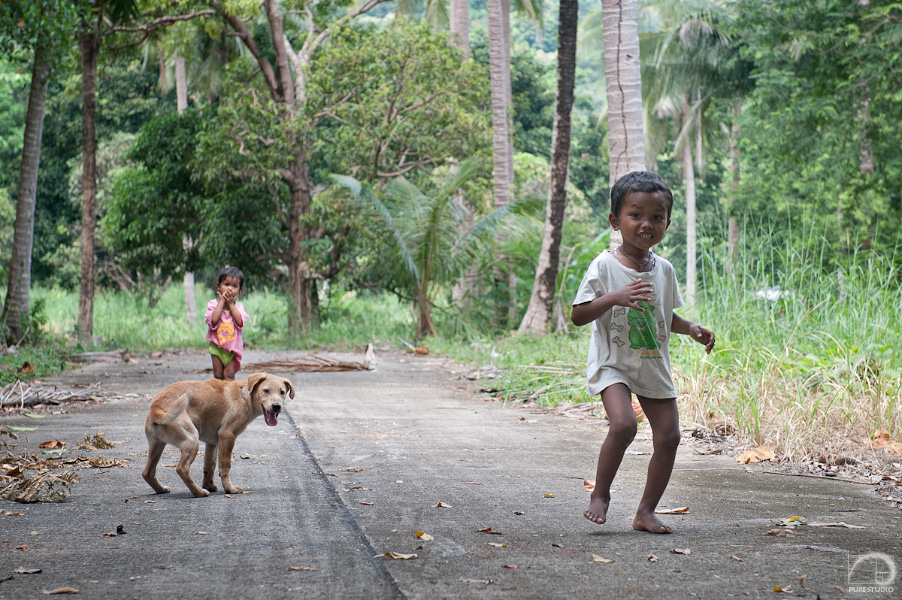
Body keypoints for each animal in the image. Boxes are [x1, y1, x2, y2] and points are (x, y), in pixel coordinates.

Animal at [143, 376, 294, 496]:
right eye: (266, 390)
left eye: (282, 392)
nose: (276, 406)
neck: (244, 395)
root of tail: (157, 407)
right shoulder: (227, 435)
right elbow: (225, 465)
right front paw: (230, 489)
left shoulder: (213, 442)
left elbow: (210, 465)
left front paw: (210, 485)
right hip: (191, 440)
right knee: (182, 469)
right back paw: (199, 492)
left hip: (158, 445)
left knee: (147, 472)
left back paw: (161, 489)